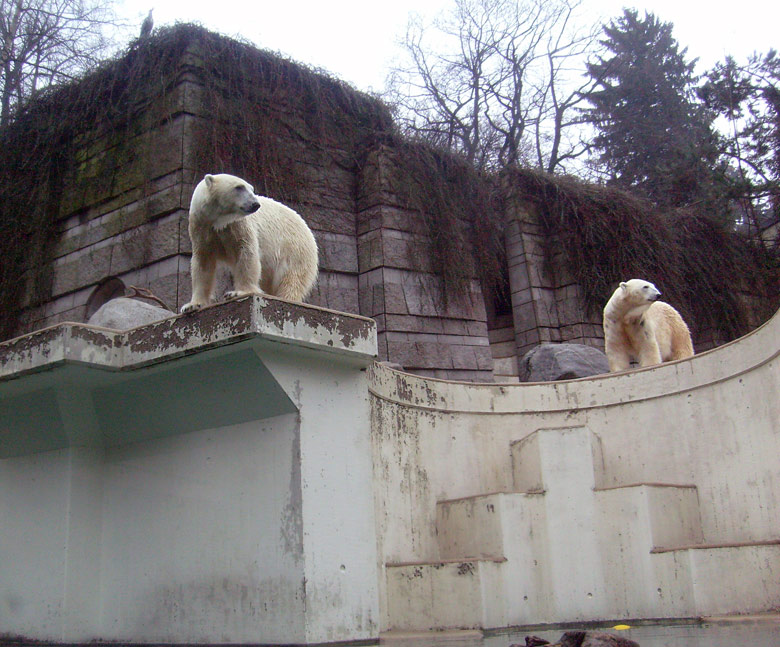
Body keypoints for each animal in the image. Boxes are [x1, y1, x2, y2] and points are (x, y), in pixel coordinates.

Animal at [181, 172, 318, 314]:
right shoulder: (202, 227)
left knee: (291, 280)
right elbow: (203, 264)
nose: (255, 204)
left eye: (251, 189)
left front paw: (237, 292)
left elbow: (246, 253)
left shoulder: (239, 226)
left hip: (295, 250)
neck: (219, 221)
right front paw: (192, 305)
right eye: (239, 187)